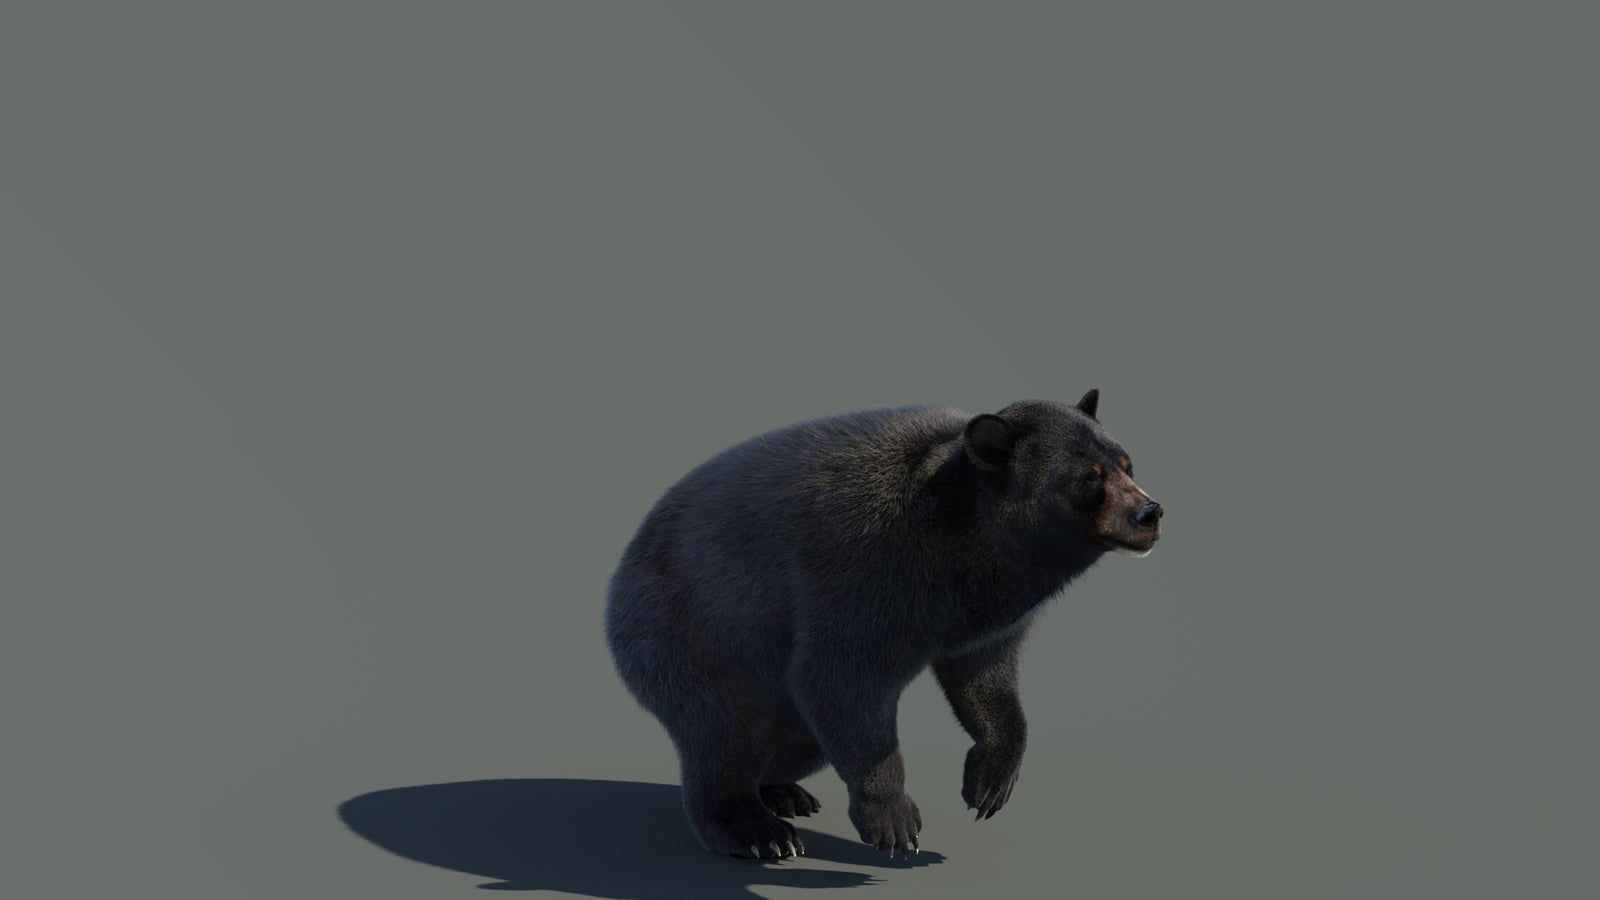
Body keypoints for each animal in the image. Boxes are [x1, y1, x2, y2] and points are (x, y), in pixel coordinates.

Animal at [604, 390, 1162, 859]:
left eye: (1127, 463)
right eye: (1089, 477)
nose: (1150, 512)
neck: (966, 544)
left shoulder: (988, 612)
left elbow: (985, 675)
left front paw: (989, 783)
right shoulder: (867, 567)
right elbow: (840, 674)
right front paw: (894, 821)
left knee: (793, 738)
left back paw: (784, 791)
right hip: (686, 633)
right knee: (727, 732)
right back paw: (757, 830)